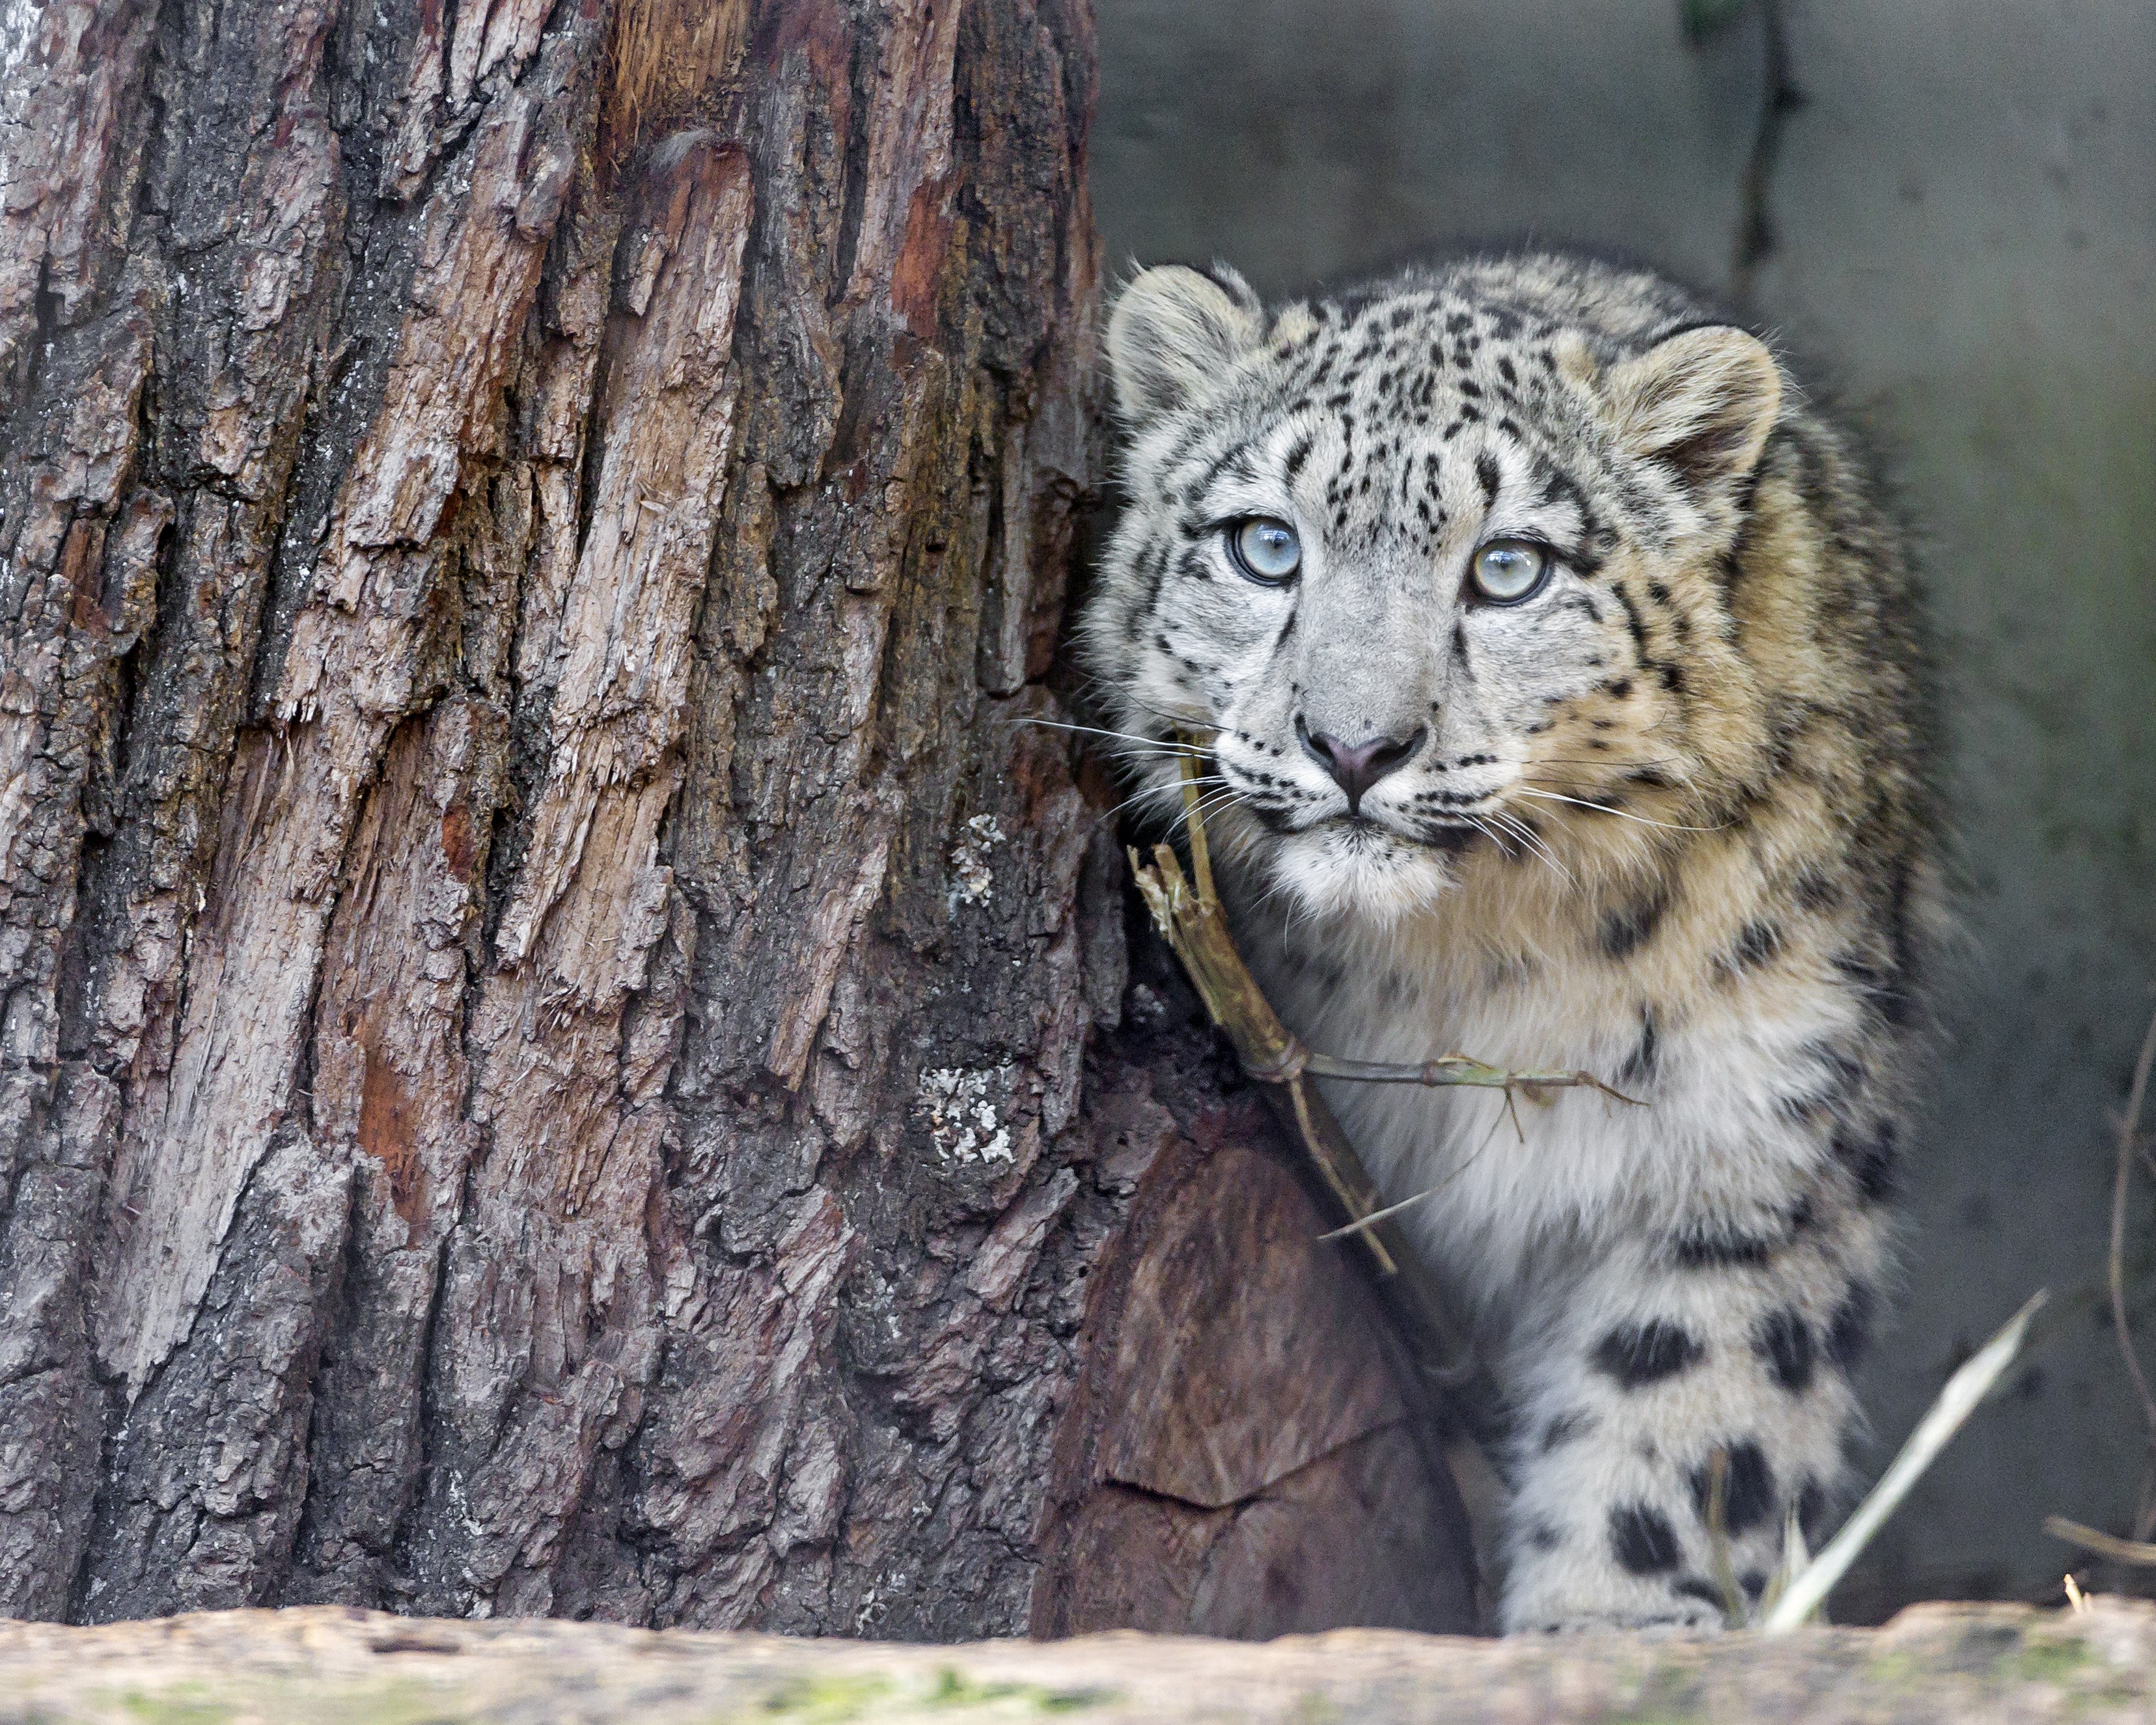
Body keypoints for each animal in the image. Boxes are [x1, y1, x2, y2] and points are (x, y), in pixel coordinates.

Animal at [1076, 251, 1944, 1632]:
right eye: (1266, 546)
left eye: (1507, 569)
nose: (1354, 745)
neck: (1471, 972)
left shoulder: (1751, 1140)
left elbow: (1687, 1405)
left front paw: (1614, 1628)